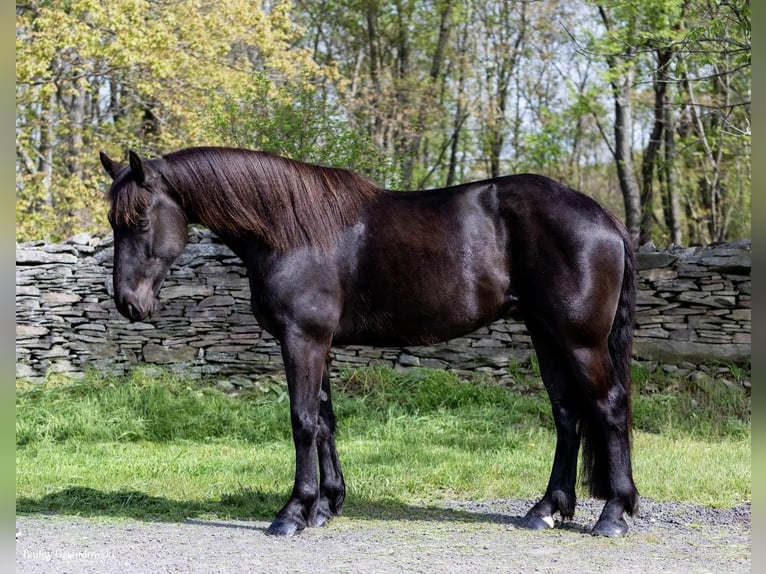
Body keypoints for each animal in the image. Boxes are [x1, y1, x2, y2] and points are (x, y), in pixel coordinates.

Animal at [102, 146, 640, 536]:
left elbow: (302, 421)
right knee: (567, 414)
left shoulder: (303, 339)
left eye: (141, 218)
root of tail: (606, 219)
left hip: (580, 339)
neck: (291, 230)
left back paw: (613, 514)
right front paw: (326, 505)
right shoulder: (315, 342)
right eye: (113, 222)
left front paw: (293, 512)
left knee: (609, 407)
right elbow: (324, 421)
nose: (128, 303)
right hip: (545, 332)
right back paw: (545, 509)